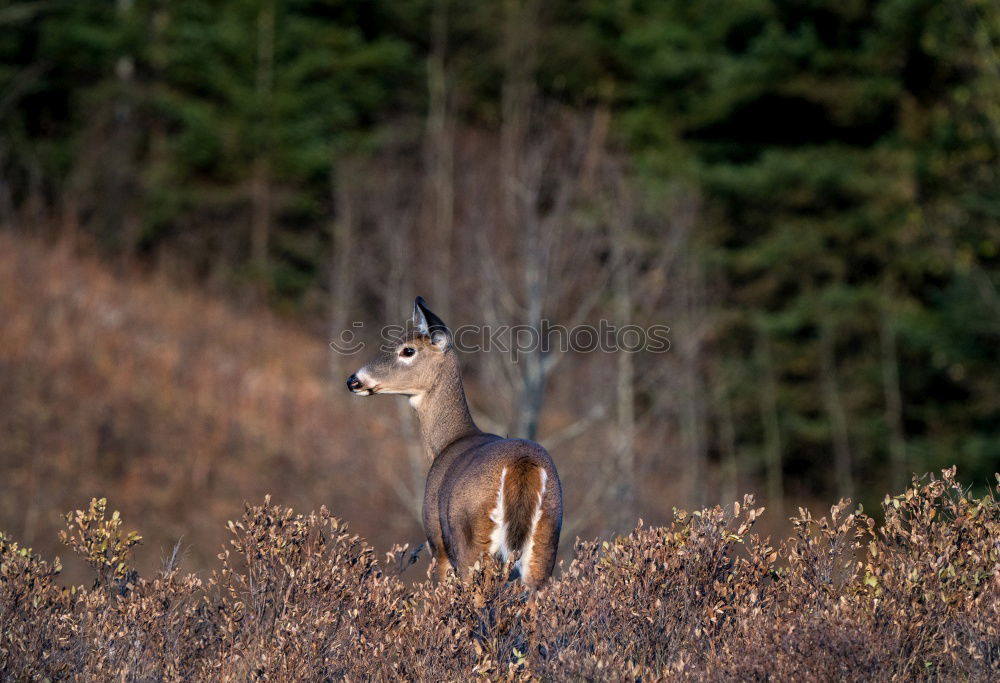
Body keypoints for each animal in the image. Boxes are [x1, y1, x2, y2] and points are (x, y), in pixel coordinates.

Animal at [348, 298, 560, 588]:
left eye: (407, 350)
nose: (353, 380)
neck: (450, 440)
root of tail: (522, 466)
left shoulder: (437, 542)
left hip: (471, 543)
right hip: (545, 546)